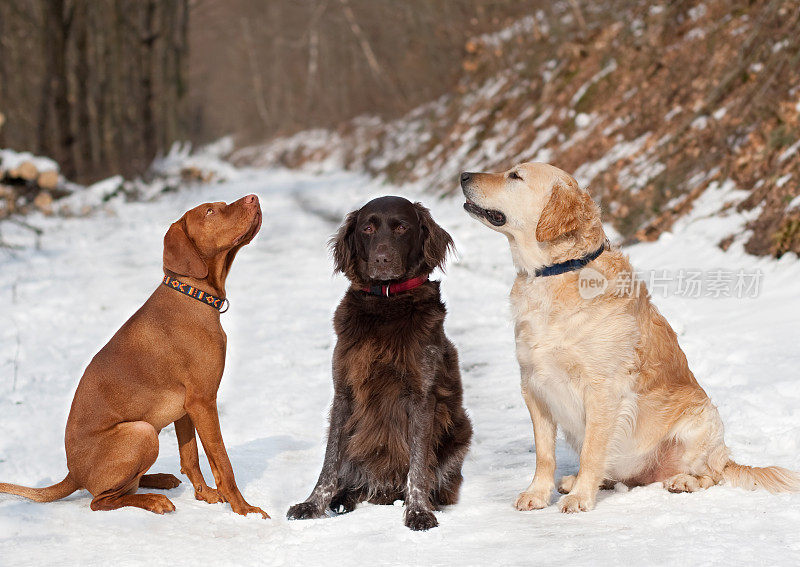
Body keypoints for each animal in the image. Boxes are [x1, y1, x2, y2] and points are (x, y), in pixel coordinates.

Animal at [0, 196, 268, 520]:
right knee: (101, 500)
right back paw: (153, 499)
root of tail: (73, 474)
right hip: (142, 432)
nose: (254, 197)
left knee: (125, 487)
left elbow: (190, 457)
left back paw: (159, 479)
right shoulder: (203, 401)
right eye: (210, 211)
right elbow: (224, 463)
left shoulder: (186, 408)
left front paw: (205, 496)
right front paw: (245, 510)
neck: (193, 296)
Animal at [288, 196, 472, 532]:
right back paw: (343, 498)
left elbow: (417, 466)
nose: (382, 260)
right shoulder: (344, 393)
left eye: (401, 227)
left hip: (461, 430)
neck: (387, 302)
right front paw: (312, 504)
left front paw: (418, 511)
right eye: (368, 229)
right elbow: (329, 463)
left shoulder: (421, 396)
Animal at [460, 162, 796, 512]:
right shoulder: (533, 385)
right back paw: (575, 481)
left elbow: (593, 451)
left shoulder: (602, 390)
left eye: (515, 176)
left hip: (701, 423)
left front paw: (580, 498)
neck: (558, 271)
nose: (463, 175)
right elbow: (544, 454)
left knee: (711, 474)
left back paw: (682, 481)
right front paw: (538, 494)